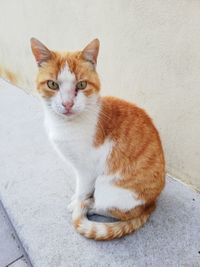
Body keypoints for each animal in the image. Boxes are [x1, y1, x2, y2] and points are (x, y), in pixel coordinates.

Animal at [29, 38, 164, 242]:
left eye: (81, 85)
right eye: (52, 84)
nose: (67, 104)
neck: (65, 125)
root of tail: (152, 203)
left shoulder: (87, 170)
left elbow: (81, 190)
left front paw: (77, 203)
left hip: (108, 187)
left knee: (111, 209)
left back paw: (89, 204)